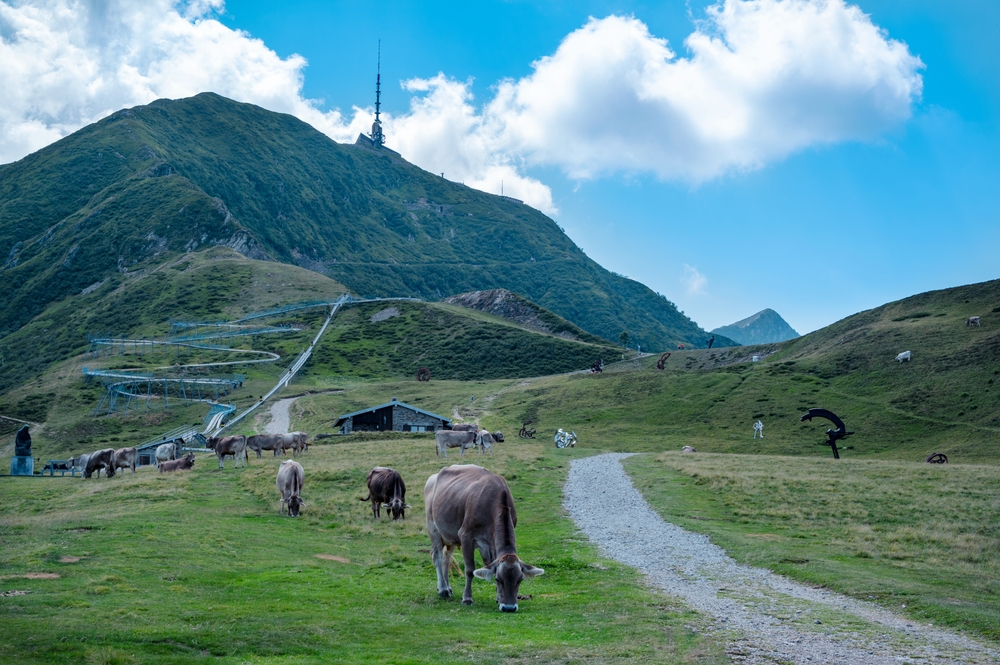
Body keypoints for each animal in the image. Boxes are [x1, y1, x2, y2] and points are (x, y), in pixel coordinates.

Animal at [424, 464, 544, 608]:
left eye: (519, 580)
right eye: (499, 579)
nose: (509, 608)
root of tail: (434, 476)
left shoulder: (489, 543)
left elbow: (490, 563)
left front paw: (498, 598)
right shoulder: (466, 536)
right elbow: (470, 570)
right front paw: (467, 598)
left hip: (449, 534)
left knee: (446, 558)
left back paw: (448, 587)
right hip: (433, 527)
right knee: (437, 556)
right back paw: (443, 589)